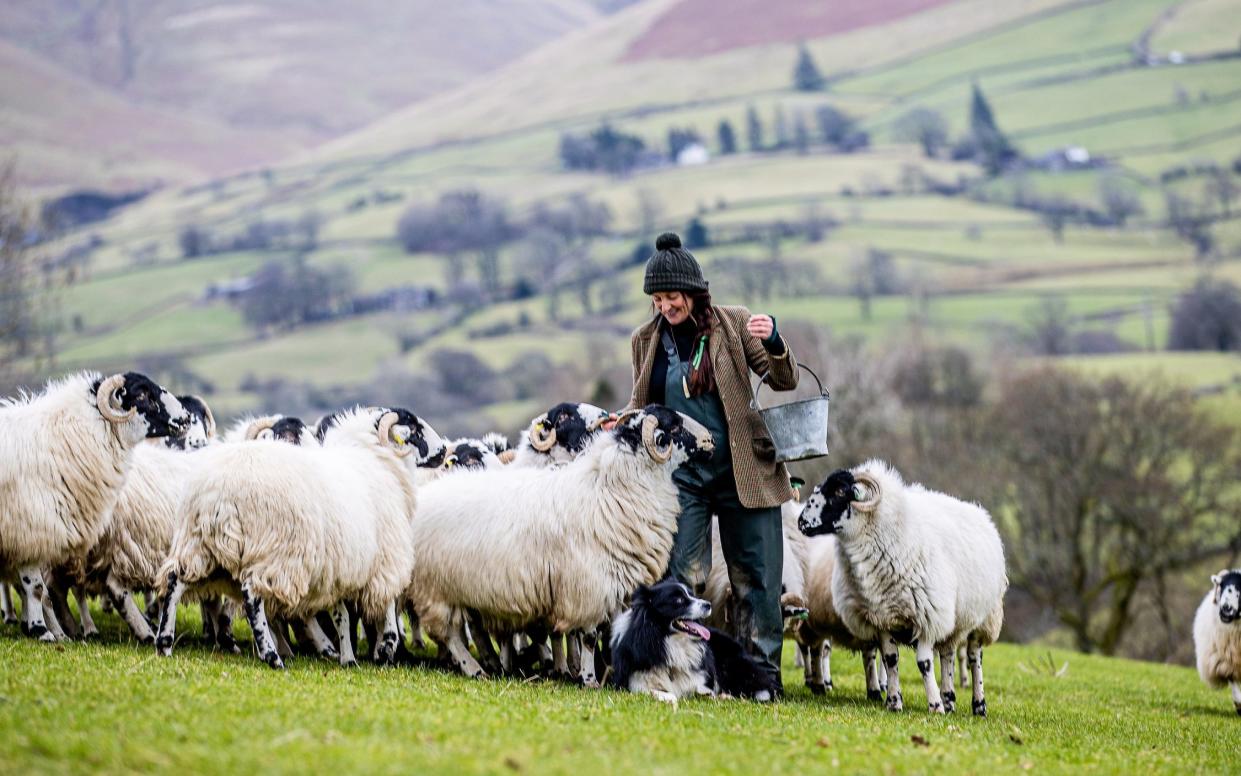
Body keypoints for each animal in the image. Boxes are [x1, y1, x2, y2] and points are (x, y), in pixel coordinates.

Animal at [156, 404, 446, 665]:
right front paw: (385, 649)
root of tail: (221, 490)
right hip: (274, 553)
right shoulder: (384, 561)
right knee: (253, 596)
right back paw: (271, 655)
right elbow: (386, 608)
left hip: (202, 546)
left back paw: (165, 642)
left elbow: (342, 616)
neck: (377, 461)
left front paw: (347, 657)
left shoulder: (338, 570)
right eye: (415, 430)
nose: (443, 451)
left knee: (175, 580)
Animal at [409, 404, 709, 685]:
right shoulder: (587, 585)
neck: (611, 486)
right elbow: (588, 636)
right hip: (435, 587)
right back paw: (474, 668)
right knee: (449, 634)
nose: (710, 441)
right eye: (674, 426)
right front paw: (588, 679)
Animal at [794, 459, 1007, 715]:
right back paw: (949, 699)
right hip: (954, 621)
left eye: (839, 492)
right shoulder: (882, 617)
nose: (801, 522)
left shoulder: (926, 616)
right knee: (947, 653)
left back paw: (978, 705)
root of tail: (980, 512)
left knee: (975, 657)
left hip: (984, 619)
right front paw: (895, 702)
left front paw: (934, 706)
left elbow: (924, 663)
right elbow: (890, 659)